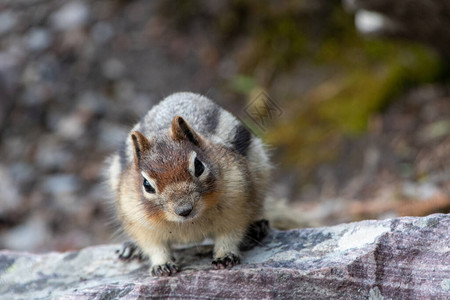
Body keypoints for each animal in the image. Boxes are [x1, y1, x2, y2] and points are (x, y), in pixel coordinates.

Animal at [106, 92, 270, 276]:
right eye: (146, 184)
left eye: (199, 166)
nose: (184, 210)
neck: (189, 223)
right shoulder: (139, 221)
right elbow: (155, 247)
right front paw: (162, 265)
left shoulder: (237, 205)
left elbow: (230, 235)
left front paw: (225, 255)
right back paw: (131, 248)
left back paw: (258, 227)